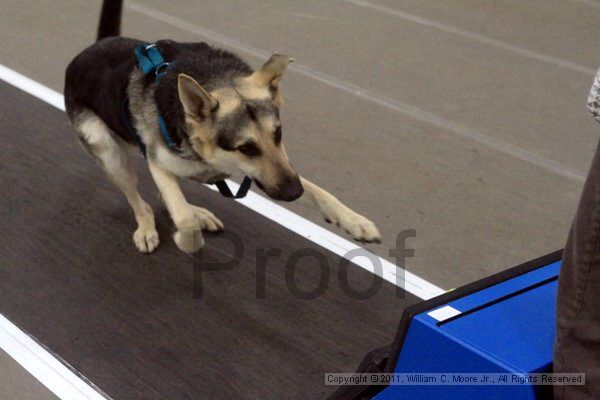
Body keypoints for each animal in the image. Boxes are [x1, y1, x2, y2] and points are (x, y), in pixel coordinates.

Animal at [65, 0, 382, 255]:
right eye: (247, 148)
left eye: (278, 134)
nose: (294, 193)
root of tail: (94, 47)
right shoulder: (158, 163)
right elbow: (183, 218)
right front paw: (187, 240)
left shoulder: (276, 166)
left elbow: (320, 190)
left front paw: (353, 220)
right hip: (109, 153)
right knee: (140, 201)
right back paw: (147, 228)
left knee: (163, 197)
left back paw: (198, 212)